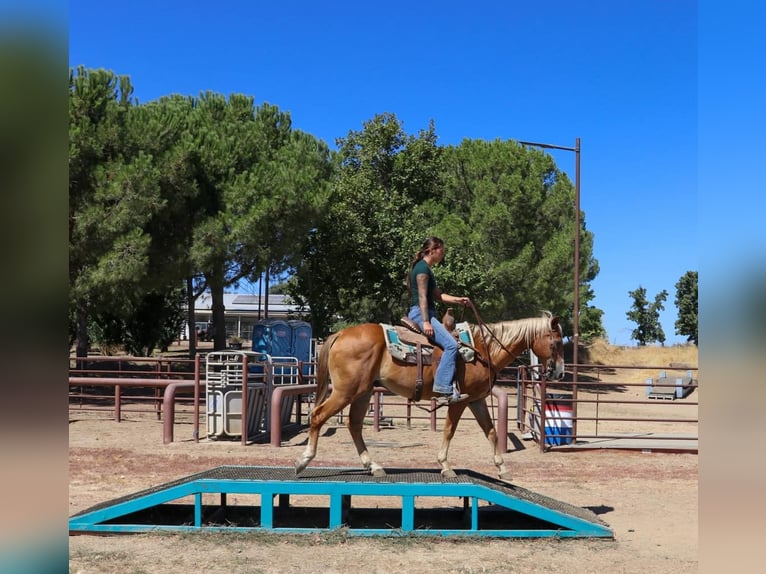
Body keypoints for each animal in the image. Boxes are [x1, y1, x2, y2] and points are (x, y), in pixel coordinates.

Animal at [295, 311, 565, 481]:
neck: (483, 348)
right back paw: (303, 461)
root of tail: (340, 334)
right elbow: (449, 430)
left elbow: (490, 431)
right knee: (318, 415)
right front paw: (445, 466)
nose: (559, 372)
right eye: (557, 342)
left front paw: (502, 468)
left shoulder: (476, 400)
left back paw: (374, 466)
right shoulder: (460, 400)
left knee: (354, 425)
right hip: (346, 392)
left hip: (363, 392)